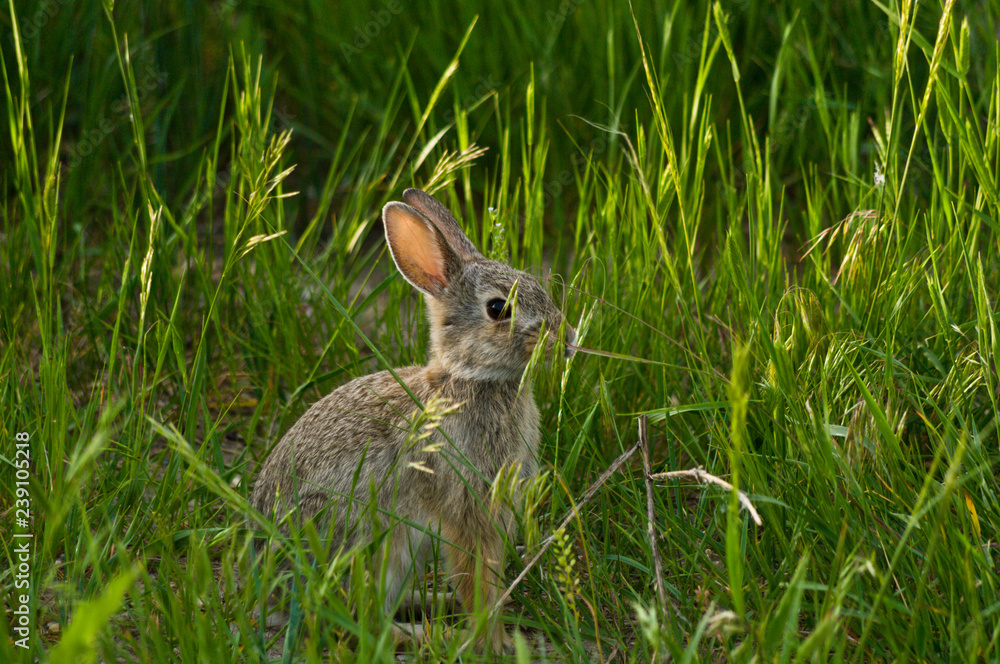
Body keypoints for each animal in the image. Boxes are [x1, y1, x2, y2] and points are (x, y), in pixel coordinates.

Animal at [248, 188, 576, 651]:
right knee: (361, 622)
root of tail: (271, 591)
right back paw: (435, 634)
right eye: (499, 308)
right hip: (376, 544)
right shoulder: (467, 507)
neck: (469, 378)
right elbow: (477, 577)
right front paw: (494, 641)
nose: (566, 340)